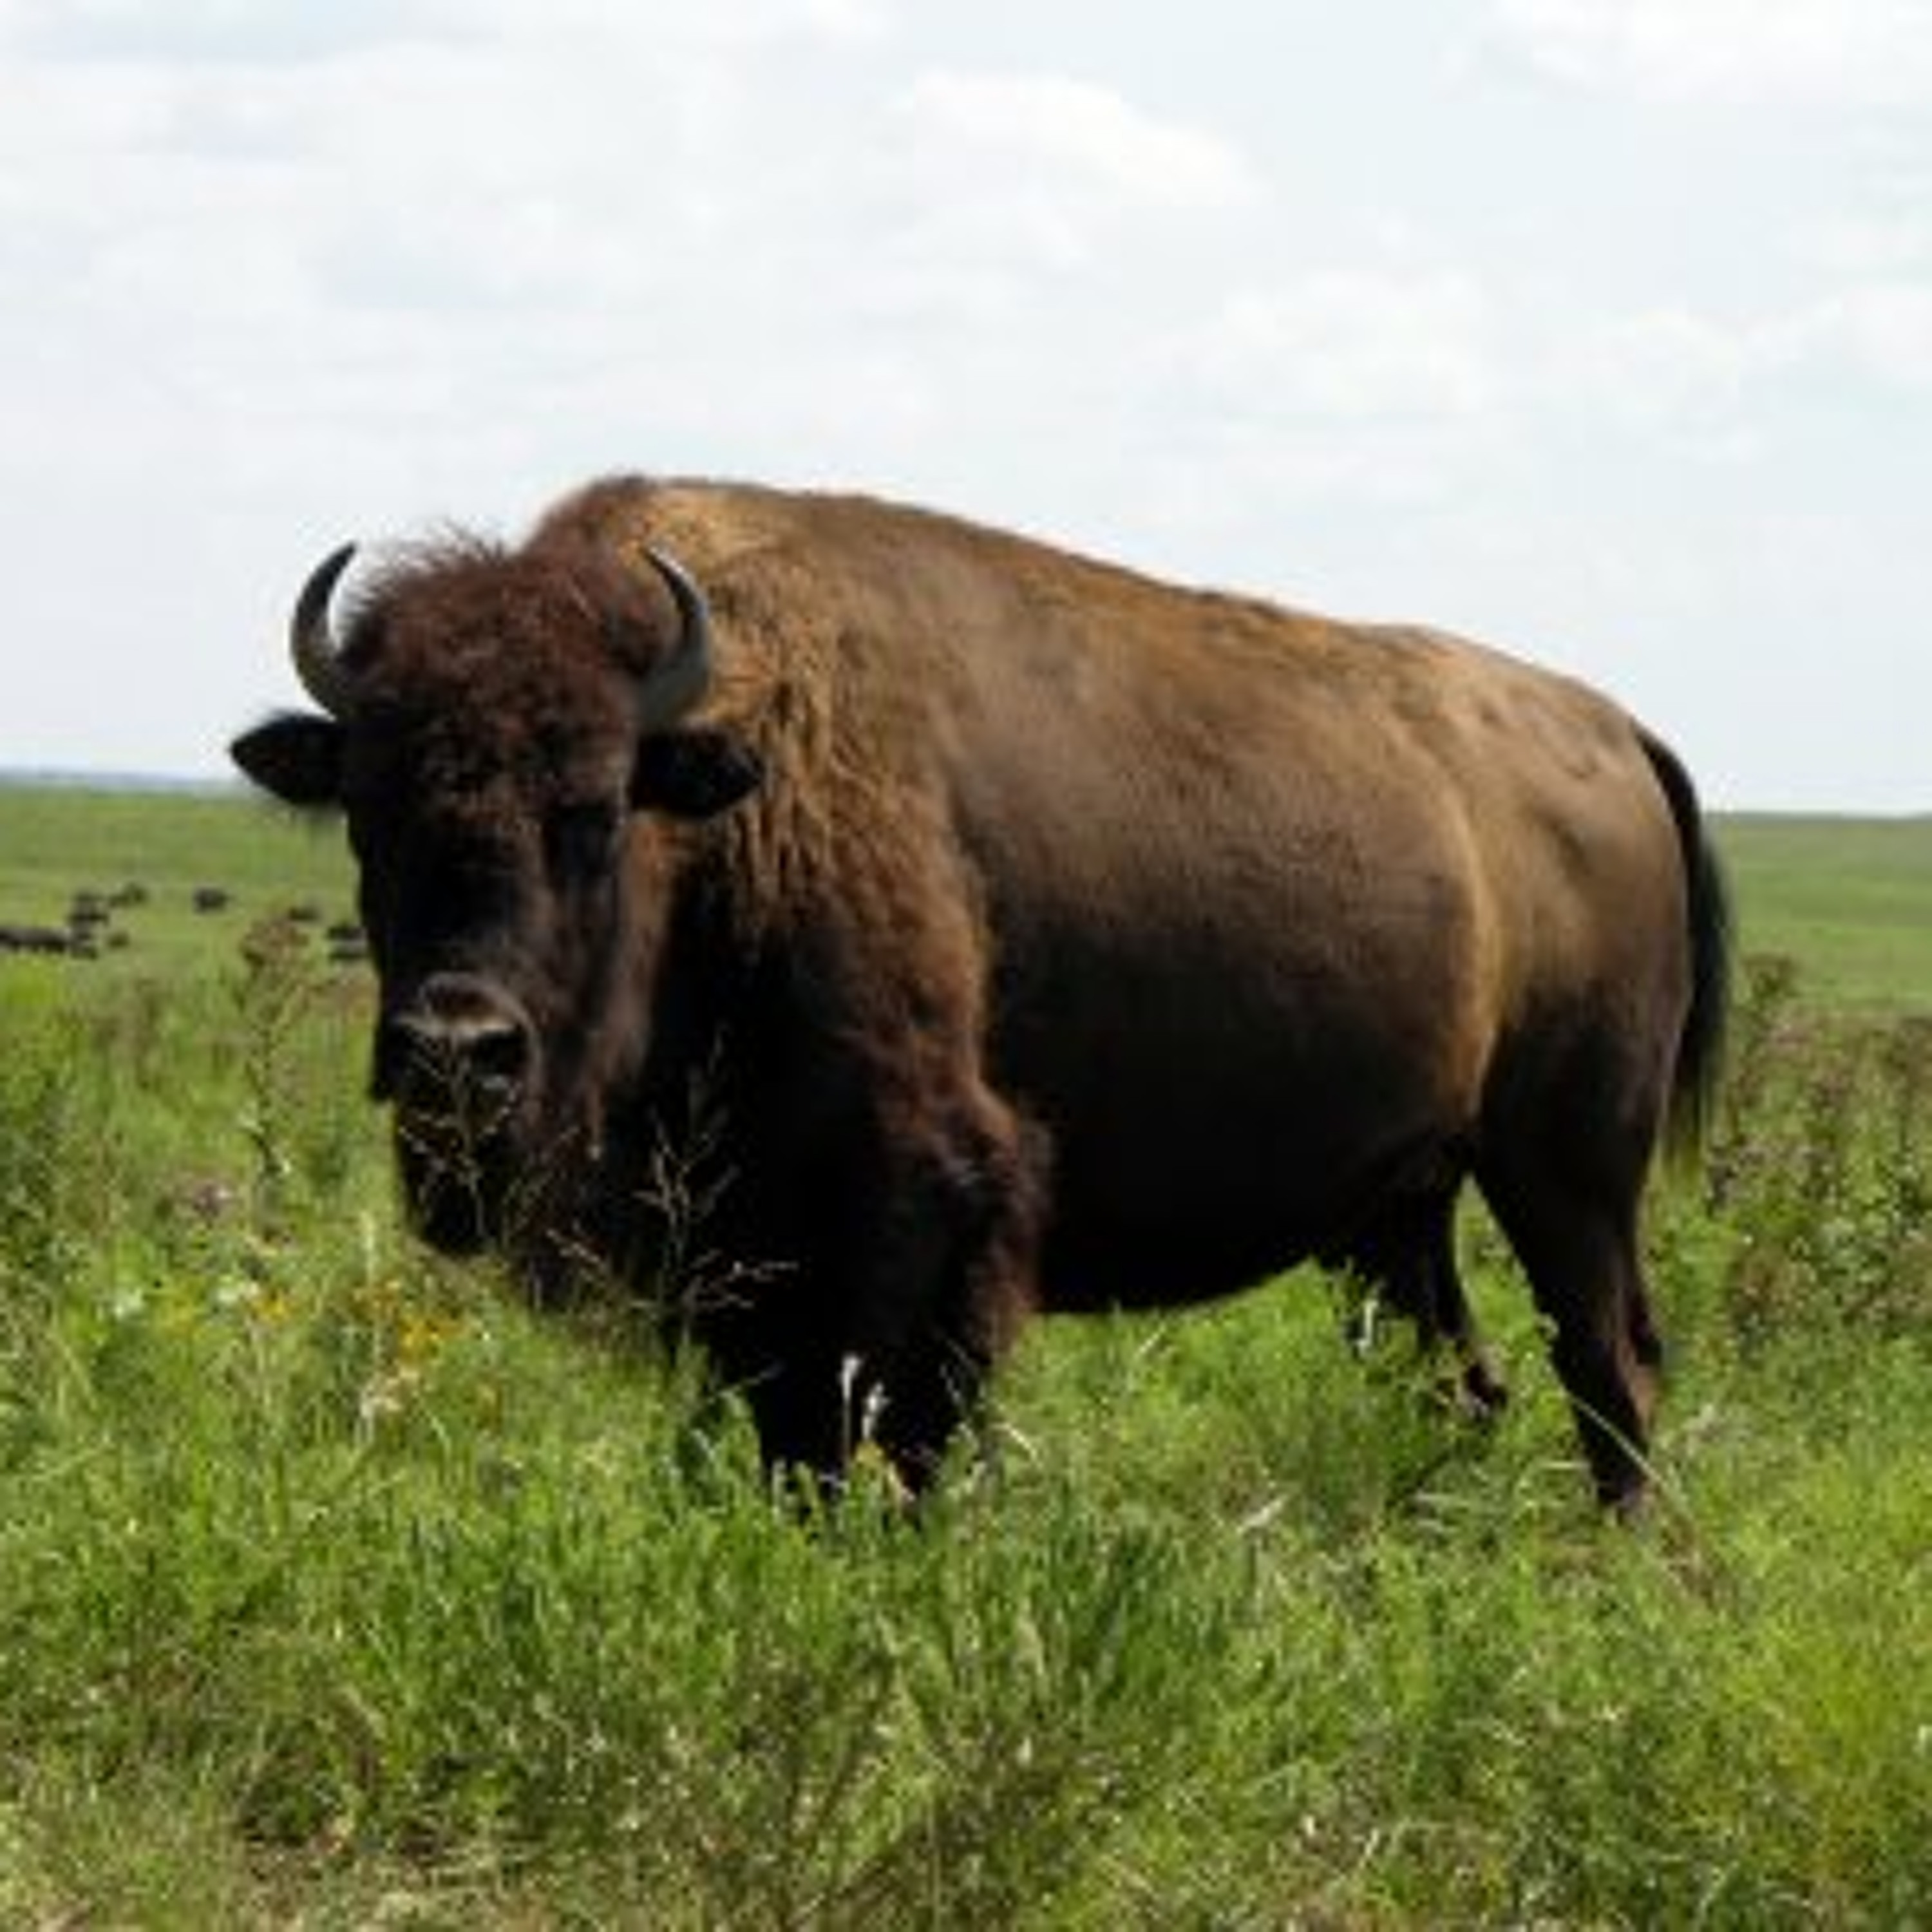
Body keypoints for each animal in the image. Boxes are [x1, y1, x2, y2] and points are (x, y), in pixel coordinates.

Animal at [231, 476, 1728, 1508]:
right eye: (369, 809)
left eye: (595, 810)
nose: (456, 1045)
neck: (736, 790)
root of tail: (1613, 729)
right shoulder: (758, 1273)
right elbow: (793, 1435)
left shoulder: (923, 1207)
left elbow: (889, 1435)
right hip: (1399, 1212)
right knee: (1464, 1380)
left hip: (1570, 1171)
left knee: (1610, 1369)